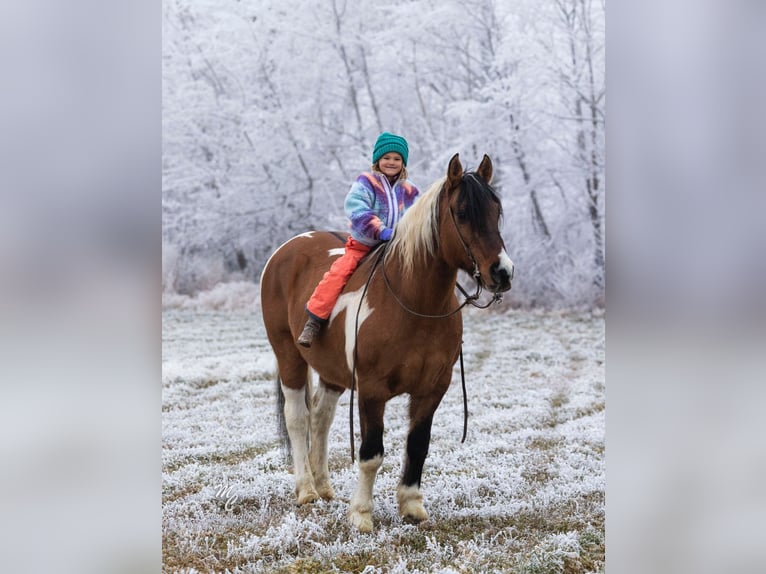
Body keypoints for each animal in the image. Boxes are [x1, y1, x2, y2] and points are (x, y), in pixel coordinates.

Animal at [258, 154, 516, 536]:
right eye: (462, 212)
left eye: (496, 210)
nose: (502, 272)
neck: (414, 303)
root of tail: (286, 250)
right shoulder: (371, 390)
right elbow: (371, 453)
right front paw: (361, 514)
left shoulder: (432, 389)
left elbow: (418, 445)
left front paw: (411, 505)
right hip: (289, 355)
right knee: (298, 419)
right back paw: (306, 490)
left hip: (332, 370)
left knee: (320, 418)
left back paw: (324, 486)